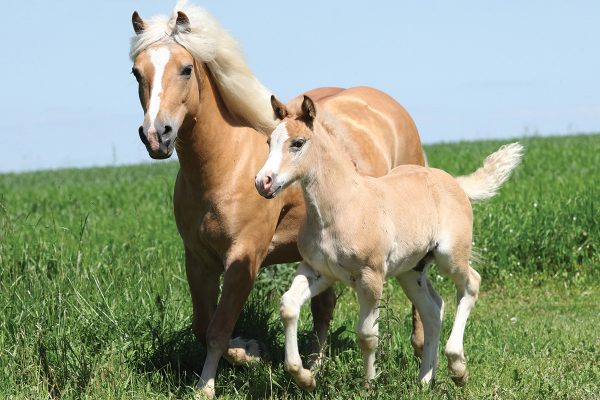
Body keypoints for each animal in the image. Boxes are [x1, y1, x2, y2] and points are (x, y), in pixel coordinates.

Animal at [131, 2, 428, 396]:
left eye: (185, 68)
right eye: (137, 72)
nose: (156, 135)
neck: (226, 163)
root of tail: (390, 106)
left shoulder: (244, 258)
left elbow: (218, 328)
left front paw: (211, 383)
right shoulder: (198, 260)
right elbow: (202, 325)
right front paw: (252, 352)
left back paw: (420, 352)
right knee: (324, 306)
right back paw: (315, 365)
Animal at [255, 95, 524, 390]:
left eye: (298, 143)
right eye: (268, 142)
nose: (263, 182)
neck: (341, 207)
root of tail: (454, 182)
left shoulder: (370, 275)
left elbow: (366, 335)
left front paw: (368, 385)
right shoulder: (318, 270)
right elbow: (289, 306)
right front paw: (304, 377)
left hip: (450, 255)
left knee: (471, 284)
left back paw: (457, 368)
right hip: (411, 270)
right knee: (433, 309)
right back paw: (424, 380)